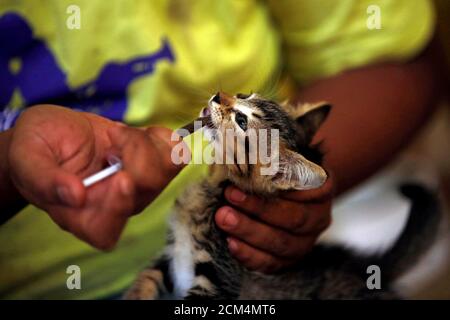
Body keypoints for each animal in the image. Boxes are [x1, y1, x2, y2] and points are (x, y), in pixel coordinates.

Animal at [125, 91, 442, 298]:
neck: (210, 189)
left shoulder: (217, 278)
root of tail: (362, 268)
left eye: (242, 121)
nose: (217, 95)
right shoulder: (172, 254)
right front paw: (136, 293)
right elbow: (144, 278)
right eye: (243, 94)